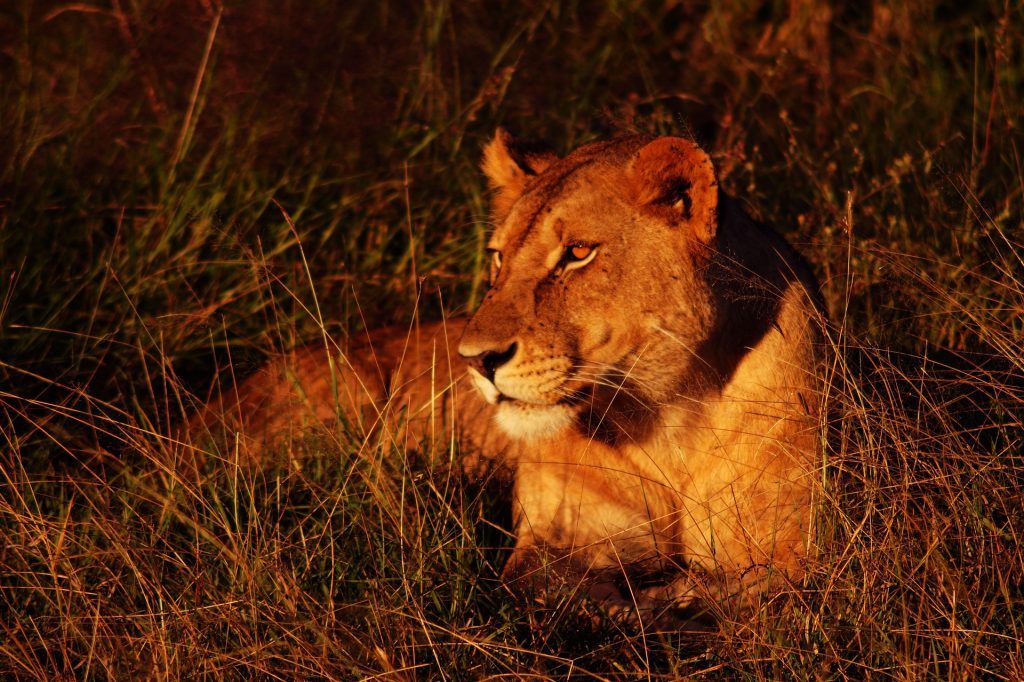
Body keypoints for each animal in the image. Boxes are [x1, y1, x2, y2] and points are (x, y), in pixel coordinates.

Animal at [191, 130, 828, 628]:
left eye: (577, 253)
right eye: (499, 256)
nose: (476, 359)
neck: (668, 418)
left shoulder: (790, 549)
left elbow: (759, 591)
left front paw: (680, 598)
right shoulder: (552, 541)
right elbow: (560, 590)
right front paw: (653, 600)